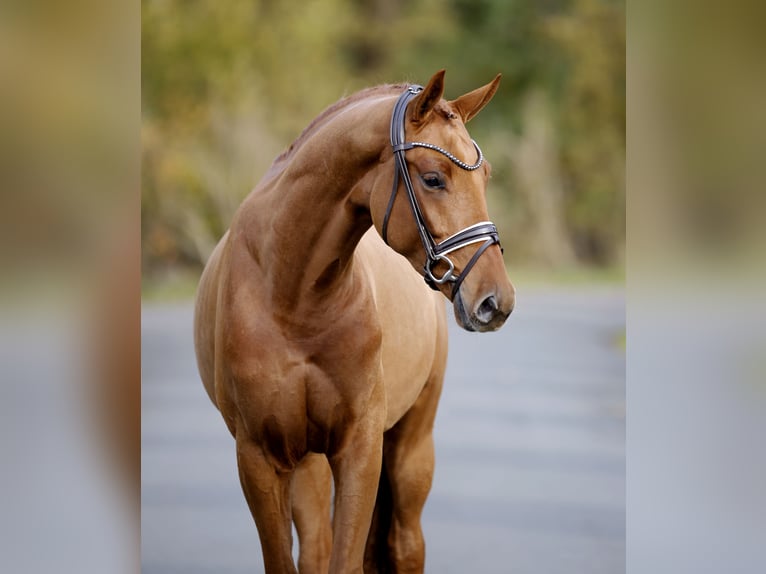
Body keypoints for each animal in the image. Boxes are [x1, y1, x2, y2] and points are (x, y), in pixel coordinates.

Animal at [194, 69, 515, 574]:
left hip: (409, 449)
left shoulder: (360, 449)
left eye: (485, 177)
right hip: (307, 462)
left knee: (404, 545)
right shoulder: (259, 457)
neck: (292, 295)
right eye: (433, 178)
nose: (495, 300)